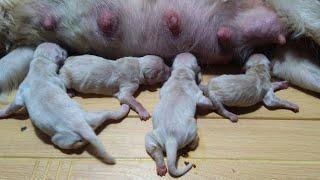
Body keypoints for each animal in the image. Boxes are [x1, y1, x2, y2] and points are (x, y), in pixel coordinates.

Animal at [0, 42, 130, 165]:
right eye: (61, 50)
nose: (67, 49)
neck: (40, 65)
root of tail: (81, 125)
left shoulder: (23, 94)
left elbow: (14, 105)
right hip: (93, 117)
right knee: (109, 114)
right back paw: (123, 109)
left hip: (61, 139)